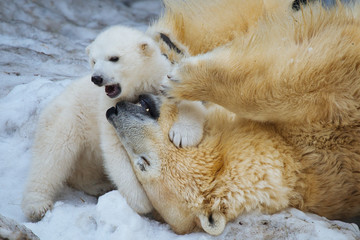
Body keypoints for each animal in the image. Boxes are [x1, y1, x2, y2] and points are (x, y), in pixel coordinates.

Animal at [21, 24, 205, 221]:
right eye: (94, 61)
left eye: (114, 58)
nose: (97, 78)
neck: (138, 85)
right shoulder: (107, 106)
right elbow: (115, 148)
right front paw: (141, 203)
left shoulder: (160, 78)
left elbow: (189, 98)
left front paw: (183, 135)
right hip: (66, 119)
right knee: (50, 157)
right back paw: (37, 206)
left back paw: (97, 185)